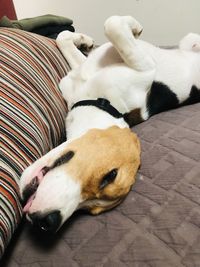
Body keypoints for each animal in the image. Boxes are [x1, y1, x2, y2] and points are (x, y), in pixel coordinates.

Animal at [20, 15, 200, 232]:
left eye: (109, 177)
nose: (47, 223)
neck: (103, 103)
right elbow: (64, 36)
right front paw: (86, 40)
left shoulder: (145, 68)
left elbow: (112, 24)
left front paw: (130, 27)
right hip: (189, 39)